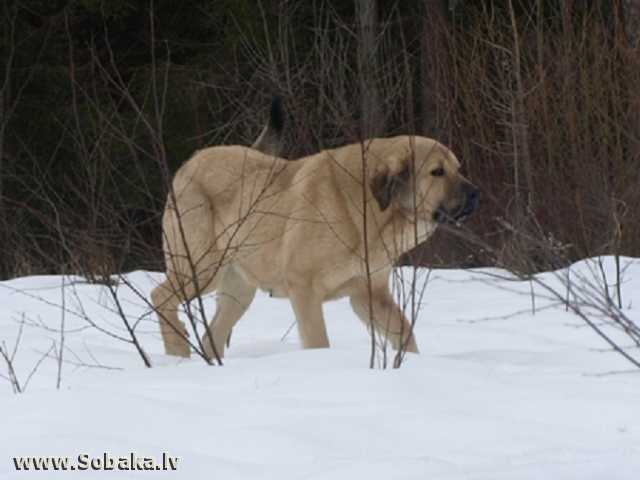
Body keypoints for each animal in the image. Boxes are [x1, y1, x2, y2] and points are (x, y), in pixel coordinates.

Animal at [152, 133, 478, 358]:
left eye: (458, 168)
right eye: (437, 172)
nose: (476, 193)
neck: (372, 211)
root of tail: (189, 163)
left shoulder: (369, 294)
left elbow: (405, 332)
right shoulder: (304, 288)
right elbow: (318, 340)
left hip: (238, 288)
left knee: (212, 335)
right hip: (201, 268)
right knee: (159, 296)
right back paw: (177, 349)